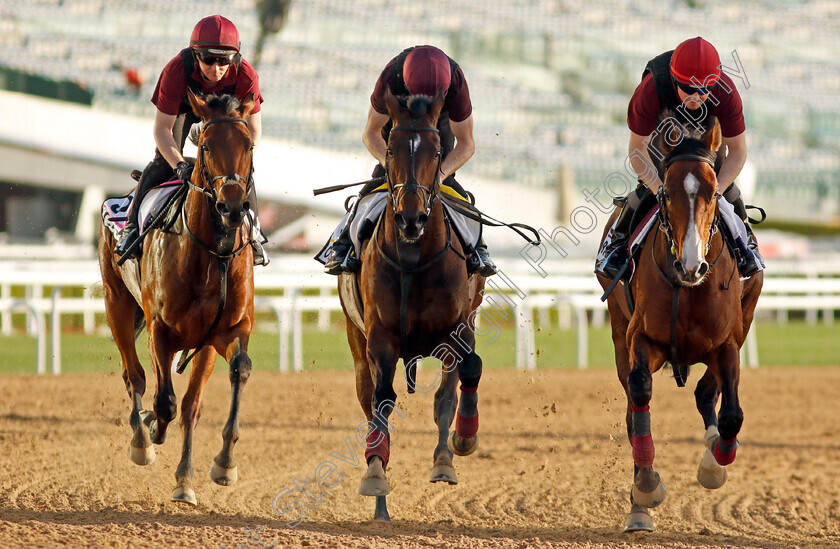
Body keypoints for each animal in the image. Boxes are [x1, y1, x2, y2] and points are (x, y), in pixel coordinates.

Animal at [98, 90, 256, 506]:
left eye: (249, 144)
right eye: (206, 146)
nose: (232, 207)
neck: (211, 255)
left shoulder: (223, 332)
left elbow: (211, 391)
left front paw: (215, 468)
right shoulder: (160, 330)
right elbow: (164, 401)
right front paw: (152, 429)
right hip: (117, 303)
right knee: (134, 377)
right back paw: (142, 440)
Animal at [338, 88, 486, 520]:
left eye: (437, 151)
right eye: (390, 147)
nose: (410, 218)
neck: (414, 259)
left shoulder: (457, 329)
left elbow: (458, 383)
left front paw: (457, 447)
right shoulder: (380, 336)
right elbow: (382, 400)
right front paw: (374, 473)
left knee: (453, 388)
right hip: (356, 339)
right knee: (369, 398)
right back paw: (381, 505)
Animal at [592, 116, 764, 532]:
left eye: (713, 191)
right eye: (666, 194)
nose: (691, 265)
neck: (686, 288)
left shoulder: (728, 343)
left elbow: (731, 414)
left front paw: (714, 465)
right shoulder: (642, 339)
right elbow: (640, 397)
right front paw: (647, 486)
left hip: (745, 317)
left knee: (705, 393)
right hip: (619, 332)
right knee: (633, 408)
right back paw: (638, 506)